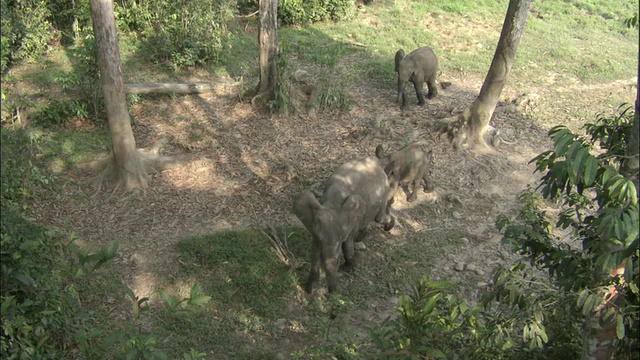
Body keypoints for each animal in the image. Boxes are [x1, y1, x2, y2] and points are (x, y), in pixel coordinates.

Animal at [294, 156, 396, 294]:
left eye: (337, 262)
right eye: (320, 239)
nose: (331, 293)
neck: (333, 201)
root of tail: (375, 160)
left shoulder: (349, 223)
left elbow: (347, 243)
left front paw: (350, 268)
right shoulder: (316, 232)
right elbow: (314, 252)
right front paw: (309, 289)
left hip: (384, 189)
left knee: (378, 218)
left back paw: (389, 226)